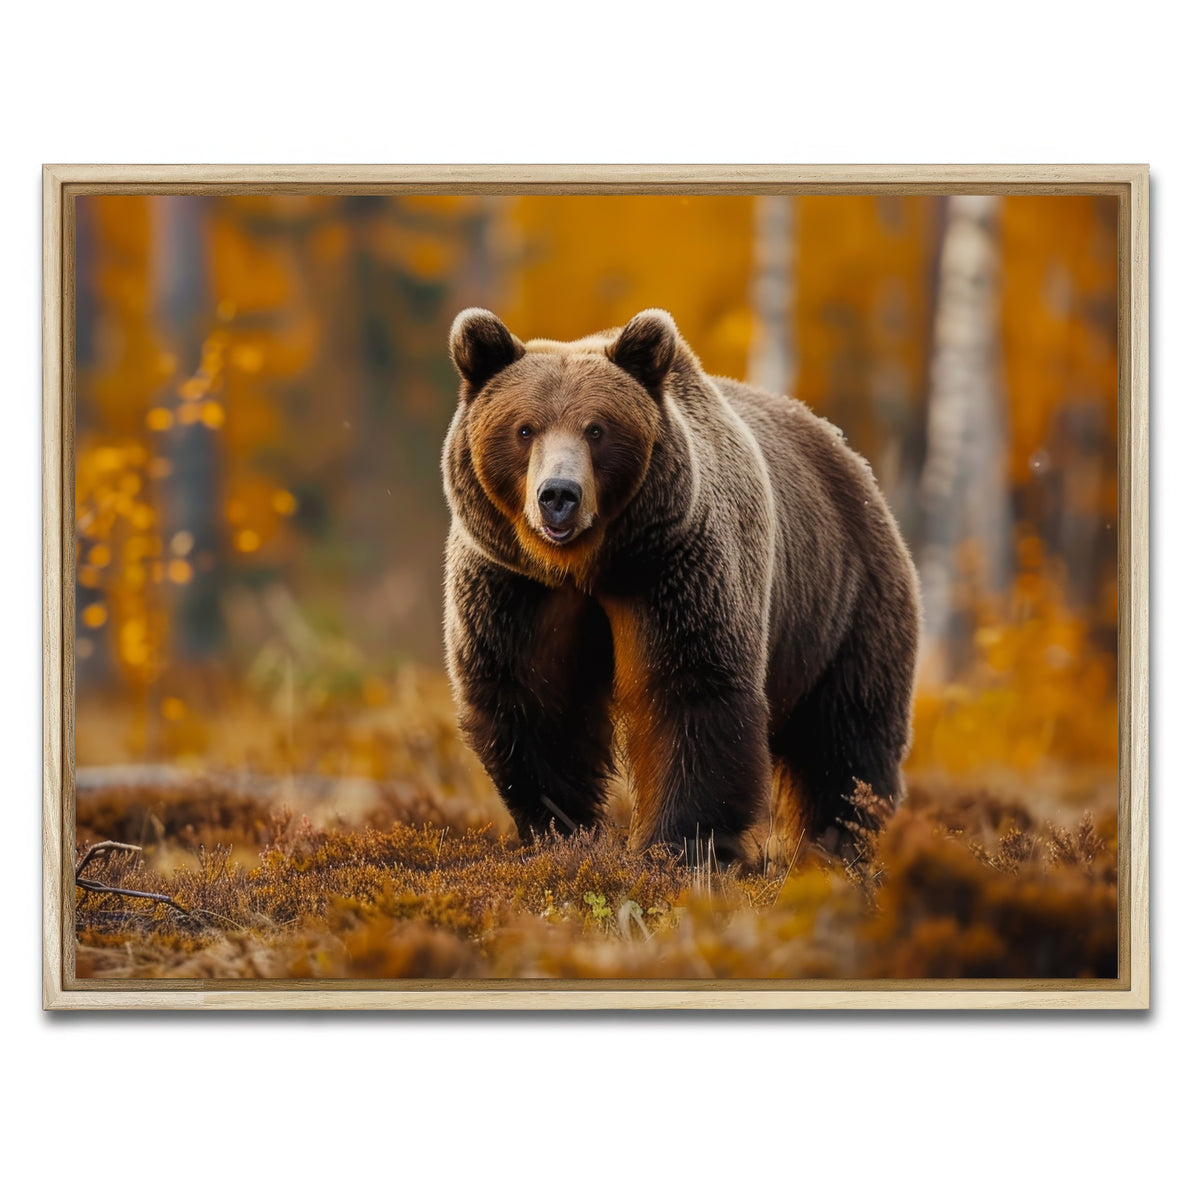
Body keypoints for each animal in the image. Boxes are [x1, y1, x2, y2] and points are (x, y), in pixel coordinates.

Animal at [441, 307, 920, 863]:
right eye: (524, 428)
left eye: (597, 429)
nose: (558, 495)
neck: (588, 565)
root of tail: (849, 456)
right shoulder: (517, 589)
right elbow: (534, 703)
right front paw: (563, 831)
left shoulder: (675, 570)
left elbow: (690, 693)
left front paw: (677, 845)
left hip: (846, 603)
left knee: (847, 736)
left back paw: (842, 842)